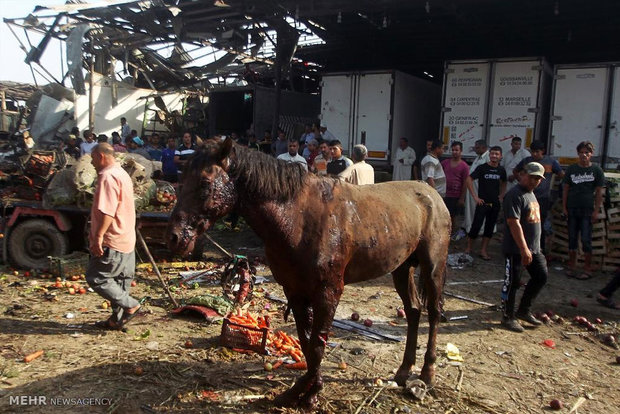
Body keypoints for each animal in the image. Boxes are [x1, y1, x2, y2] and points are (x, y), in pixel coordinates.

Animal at [168, 138, 450, 408]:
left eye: (205, 183)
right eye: (181, 179)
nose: (175, 237)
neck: (297, 218)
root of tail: (432, 196)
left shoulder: (328, 291)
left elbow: (316, 344)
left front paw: (311, 393)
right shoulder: (294, 290)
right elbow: (305, 343)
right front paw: (299, 391)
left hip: (433, 267)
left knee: (434, 313)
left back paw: (427, 373)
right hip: (402, 269)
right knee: (413, 311)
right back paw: (404, 371)